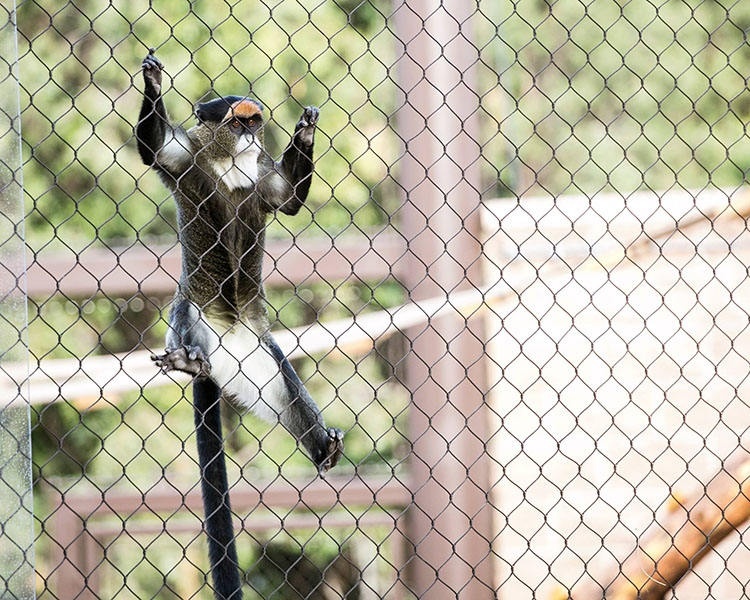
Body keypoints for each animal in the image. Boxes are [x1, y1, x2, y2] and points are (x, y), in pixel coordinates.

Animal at [136, 51, 344, 600]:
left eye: (255, 123)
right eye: (236, 122)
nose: (251, 136)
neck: (229, 166)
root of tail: (223, 350)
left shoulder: (264, 177)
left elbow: (288, 198)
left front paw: (306, 131)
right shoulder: (182, 156)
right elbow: (153, 149)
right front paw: (153, 82)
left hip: (258, 358)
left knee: (289, 394)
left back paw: (323, 447)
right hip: (193, 318)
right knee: (185, 320)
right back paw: (189, 363)